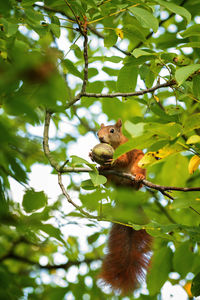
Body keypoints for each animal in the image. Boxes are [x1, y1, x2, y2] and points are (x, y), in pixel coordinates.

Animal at [96, 119, 152, 296]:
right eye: (97, 132)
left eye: (112, 130)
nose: (100, 138)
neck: (115, 145)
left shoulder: (127, 151)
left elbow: (123, 159)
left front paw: (112, 161)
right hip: (113, 181)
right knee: (108, 181)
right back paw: (102, 171)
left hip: (139, 164)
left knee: (137, 177)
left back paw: (138, 178)